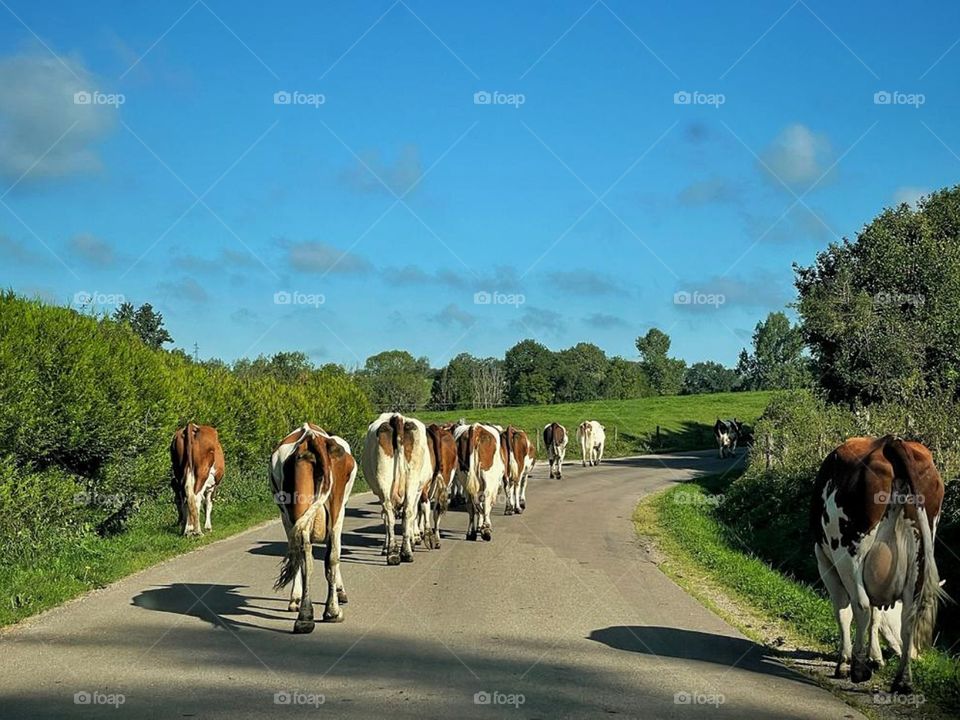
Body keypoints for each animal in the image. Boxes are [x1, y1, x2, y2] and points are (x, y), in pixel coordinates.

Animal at [270, 423, 356, 633]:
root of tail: (312, 437)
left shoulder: (287, 518)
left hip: (299, 511)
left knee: (307, 556)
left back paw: (305, 617)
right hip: (336, 509)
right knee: (328, 556)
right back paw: (331, 612)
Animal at [361, 412, 433, 565]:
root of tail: (397, 417)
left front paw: (386, 547)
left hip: (385, 480)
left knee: (391, 513)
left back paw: (394, 552)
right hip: (410, 480)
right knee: (407, 512)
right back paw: (403, 552)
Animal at [812, 435, 945, 693]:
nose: (918, 656)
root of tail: (891, 442)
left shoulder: (825, 562)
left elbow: (844, 611)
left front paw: (846, 662)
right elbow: (876, 615)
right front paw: (875, 657)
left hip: (849, 553)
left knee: (861, 605)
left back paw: (858, 669)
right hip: (920, 557)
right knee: (908, 617)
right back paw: (903, 680)